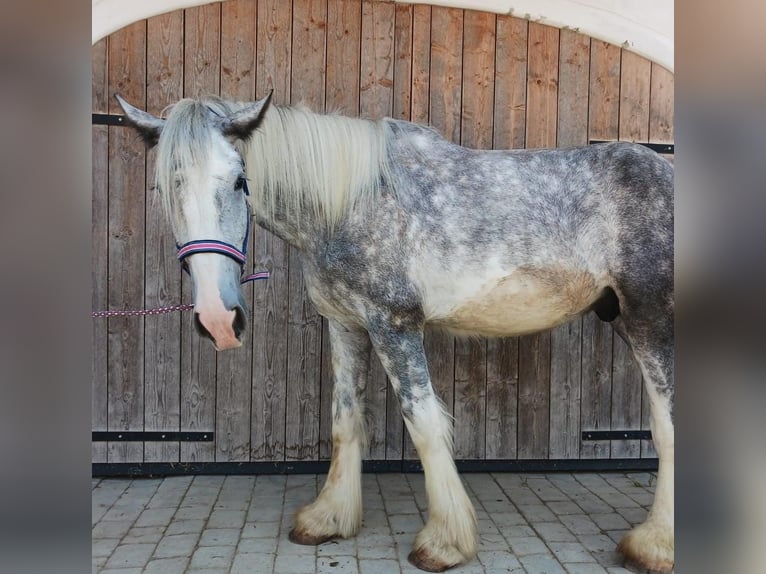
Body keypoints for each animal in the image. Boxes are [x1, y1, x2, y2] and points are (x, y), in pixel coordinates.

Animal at [116, 92, 674, 573]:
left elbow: (423, 422)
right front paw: (328, 518)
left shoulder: (394, 324)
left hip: (651, 322)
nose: (218, 318)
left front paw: (445, 542)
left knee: (667, 425)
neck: (350, 204)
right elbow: (345, 420)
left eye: (238, 181)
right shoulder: (346, 325)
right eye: (164, 189)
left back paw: (654, 546)